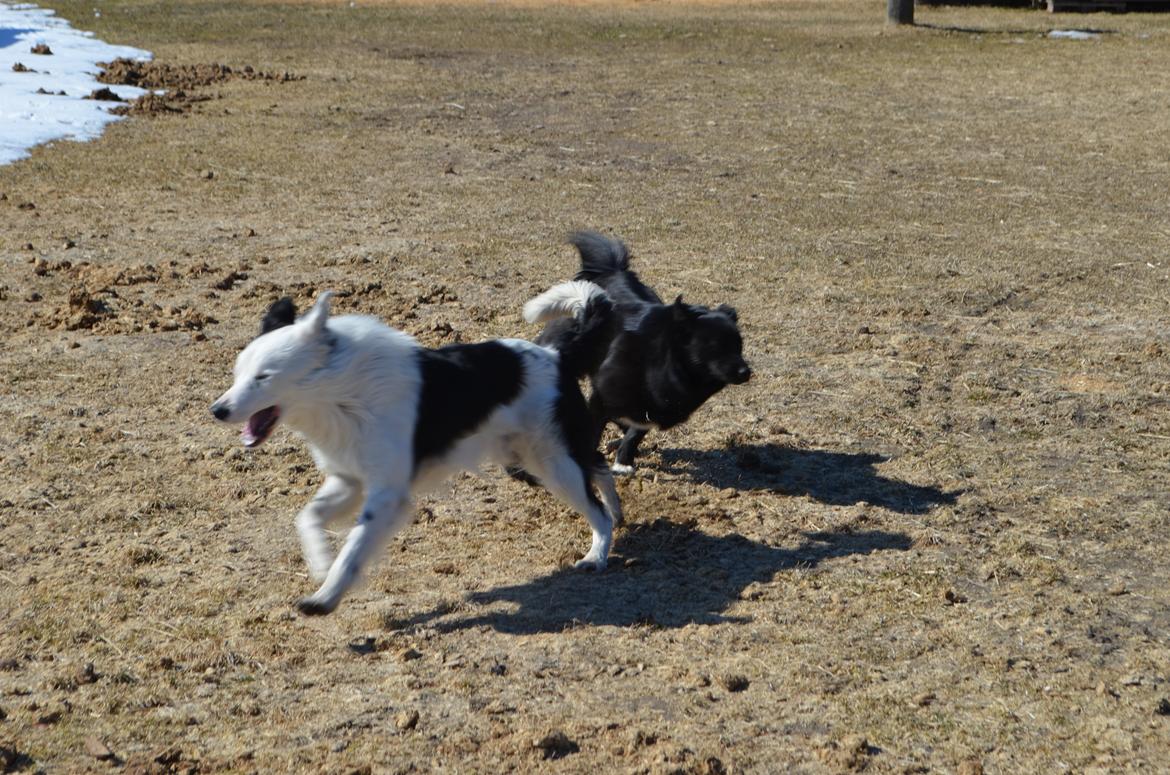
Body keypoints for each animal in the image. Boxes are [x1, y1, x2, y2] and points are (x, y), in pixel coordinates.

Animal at [210, 282, 622, 618]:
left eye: (263, 377)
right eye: (237, 374)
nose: (218, 410)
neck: (341, 392)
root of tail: (555, 354)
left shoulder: (385, 494)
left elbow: (354, 548)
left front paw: (325, 597)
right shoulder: (349, 479)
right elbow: (308, 517)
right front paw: (322, 565)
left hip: (552, 462)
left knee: (595, 507)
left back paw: (597, 553)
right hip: (531, 457)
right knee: (598, 465)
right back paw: (617, 510)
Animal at [528, 230, 753, 472]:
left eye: (739, 346)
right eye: (716, 346)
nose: (746, 372)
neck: (662, 359)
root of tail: (611, 271)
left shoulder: (651, 409)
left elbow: (635, 432)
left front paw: (624, 460)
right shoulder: (603, 396)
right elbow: (597, 428)